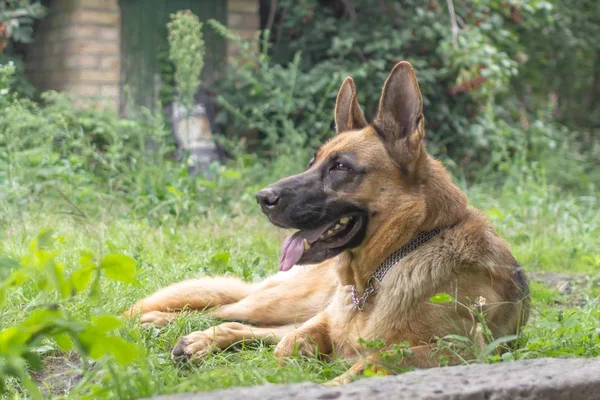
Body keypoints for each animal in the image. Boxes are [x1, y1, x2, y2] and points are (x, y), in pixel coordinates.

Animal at [124, 61, 528, 384]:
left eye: (340, 167)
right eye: (312, 162)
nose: (262, 198)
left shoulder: (450, 351)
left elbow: (365, 364)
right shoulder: (325, 321)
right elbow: (291, 347)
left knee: (245, 325)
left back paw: (195, 339)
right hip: (281, 303)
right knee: (224, 311)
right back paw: (155, 324)